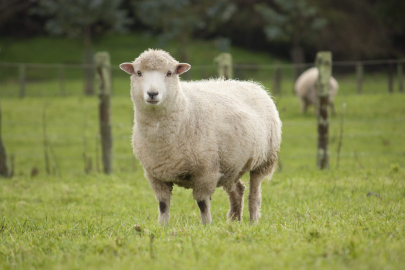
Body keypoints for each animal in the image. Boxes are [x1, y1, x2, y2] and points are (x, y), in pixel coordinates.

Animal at [119, 49, 280, 226]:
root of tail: (252, 84)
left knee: (255, 194)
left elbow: (203, 203)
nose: (152, 93)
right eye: (139, 73)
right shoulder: (155, 175)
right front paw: (162, 226)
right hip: (231, 164)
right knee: (238, 190)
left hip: (264, 160)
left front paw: (206, 225)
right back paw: (234, 221)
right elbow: (163, 204)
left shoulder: (206, 172)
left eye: (169, 73)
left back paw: (253, 221)